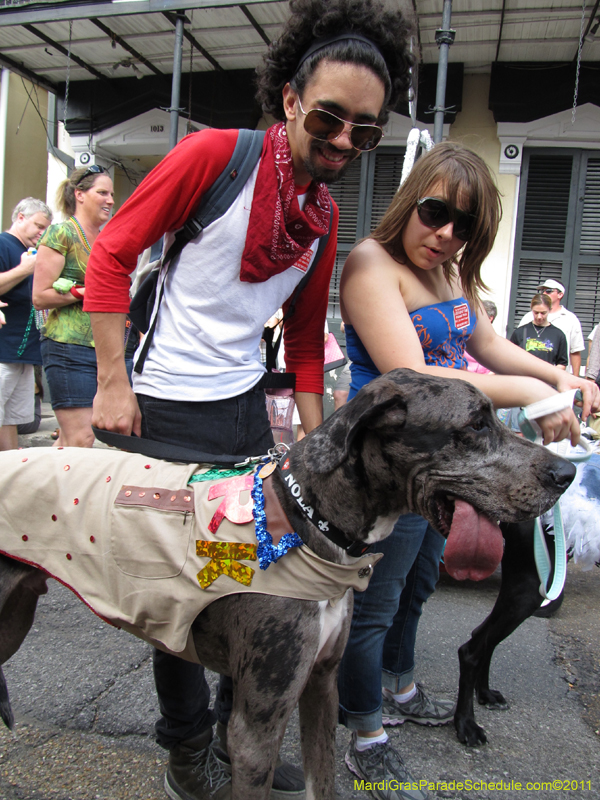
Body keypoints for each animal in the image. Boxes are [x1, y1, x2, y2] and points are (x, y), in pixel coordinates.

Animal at [0, 370, 572, 800]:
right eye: (475, 424)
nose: (565, 473)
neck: (310, 519)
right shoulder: (258, 724)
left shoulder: (320, 684)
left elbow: (324, 780)